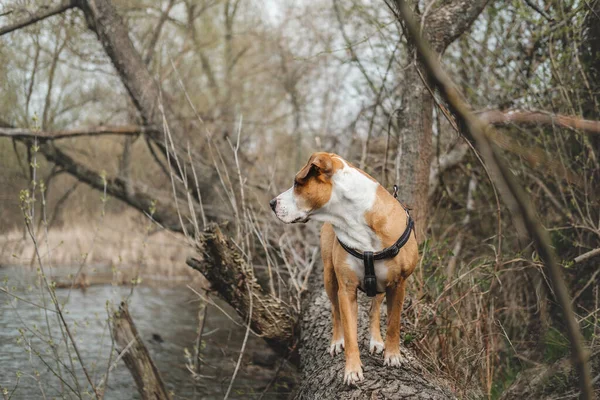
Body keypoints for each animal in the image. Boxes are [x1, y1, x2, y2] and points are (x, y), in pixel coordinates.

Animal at [270, 152, 418, 384]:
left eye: (296, 183)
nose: (271, 203)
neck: (354, 219)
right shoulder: (346, 289)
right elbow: (350, 332)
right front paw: (352, 369)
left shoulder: (398, 284)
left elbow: (394, 323)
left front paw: (392, 355)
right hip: (329, 278)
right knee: (335, 311)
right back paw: (336, 341)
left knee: (375, 308)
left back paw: (376, 340)